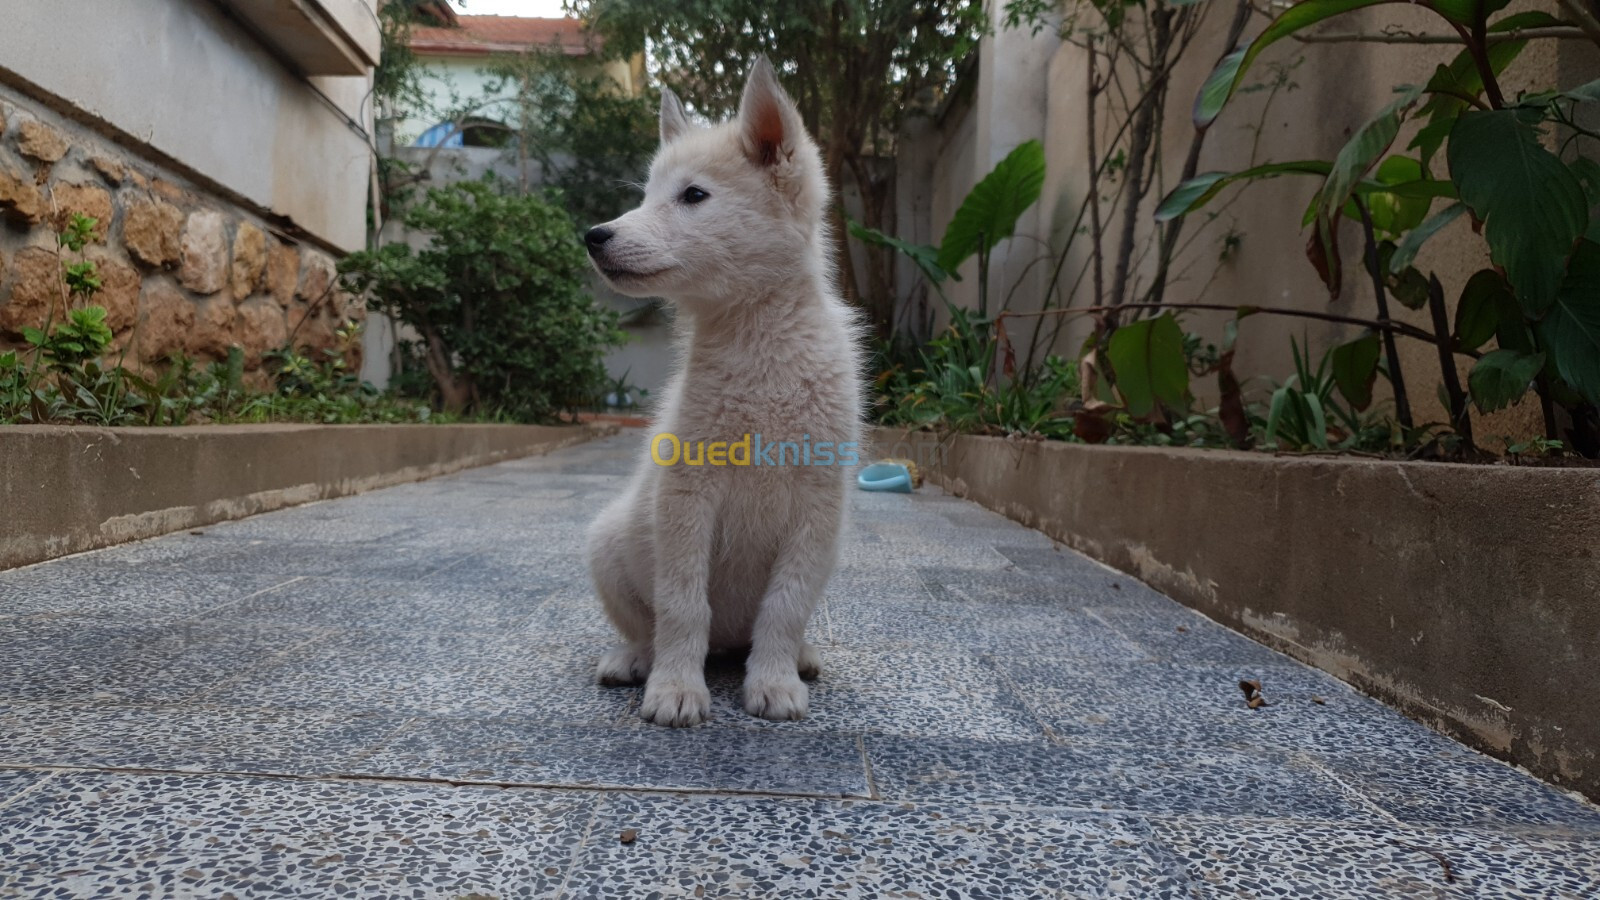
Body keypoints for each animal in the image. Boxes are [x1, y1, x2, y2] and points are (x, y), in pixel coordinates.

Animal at [582, 59, 864, 723]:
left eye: (693, 196)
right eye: (645, 196)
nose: (594, 235)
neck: (759, 349)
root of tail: (730, 643)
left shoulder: (818, 507)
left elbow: (785, 606)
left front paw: (775, 680)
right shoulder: (686, 496)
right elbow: (683, 605)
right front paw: (676, 689)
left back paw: (799, 656)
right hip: (608, 542)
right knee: (648, 626)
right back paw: (635, 660)